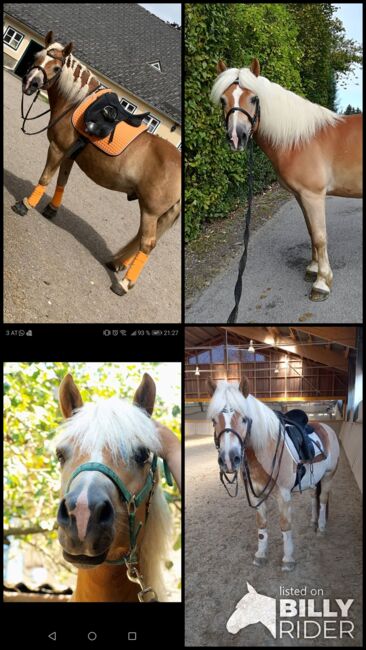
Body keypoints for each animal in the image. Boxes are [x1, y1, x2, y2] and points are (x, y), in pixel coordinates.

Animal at [12, 31, 181, 294]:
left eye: (57, 67)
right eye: (38, 56)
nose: (31, 83)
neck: (76, 104)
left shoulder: (57, 149)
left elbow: (46, 177)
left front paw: (25, 205)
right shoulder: (69, 154)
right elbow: (61, 181)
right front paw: (51, 209)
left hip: (152, 211)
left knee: (147, 243)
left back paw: (124, 284)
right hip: (153, 212)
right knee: (139, 239)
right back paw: (116, 263)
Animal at [209, 378, 340, 568]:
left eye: (244, 419)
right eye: (213, 420)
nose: (229, 459)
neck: (266, 450)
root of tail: (326, 427)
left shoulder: (283, 495)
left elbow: (285, 525)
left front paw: (288, 559)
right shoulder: (256, 495)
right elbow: (261, 525)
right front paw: (260, 555)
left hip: (329, 476)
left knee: (322, 500)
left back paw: (321, 528)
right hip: (314, 480)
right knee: (313, 497)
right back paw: (313, 522)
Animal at [210, 58, 362, 302]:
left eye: (254, 98)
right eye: (223, 100)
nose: (236, 138)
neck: (299, 140)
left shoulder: (313, 195)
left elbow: (320, 236)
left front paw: (322, 283)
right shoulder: (301, 196)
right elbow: (310, 231)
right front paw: (312, 269)